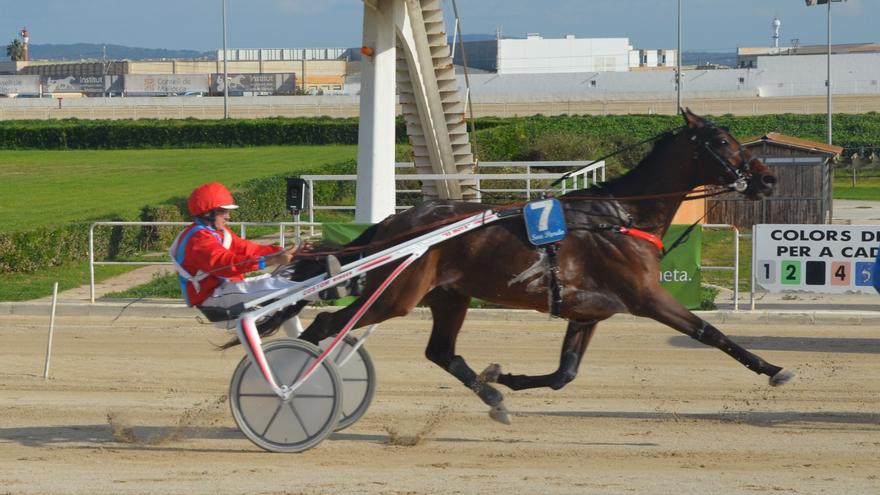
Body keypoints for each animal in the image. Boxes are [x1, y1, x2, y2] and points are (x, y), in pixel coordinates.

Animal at [294, 110, 792, 424]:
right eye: (723, 142)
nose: (769, 178)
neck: (622, 215)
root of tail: (392, 222)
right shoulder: (646, 297)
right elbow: (711, 332)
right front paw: (772, 369)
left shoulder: (588, 311)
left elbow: (564, 374)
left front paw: (505, 377)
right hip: (396, 295)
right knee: (324, 324)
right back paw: (296, 382)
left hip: (449, 297)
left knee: (441, 352)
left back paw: (493, 397)